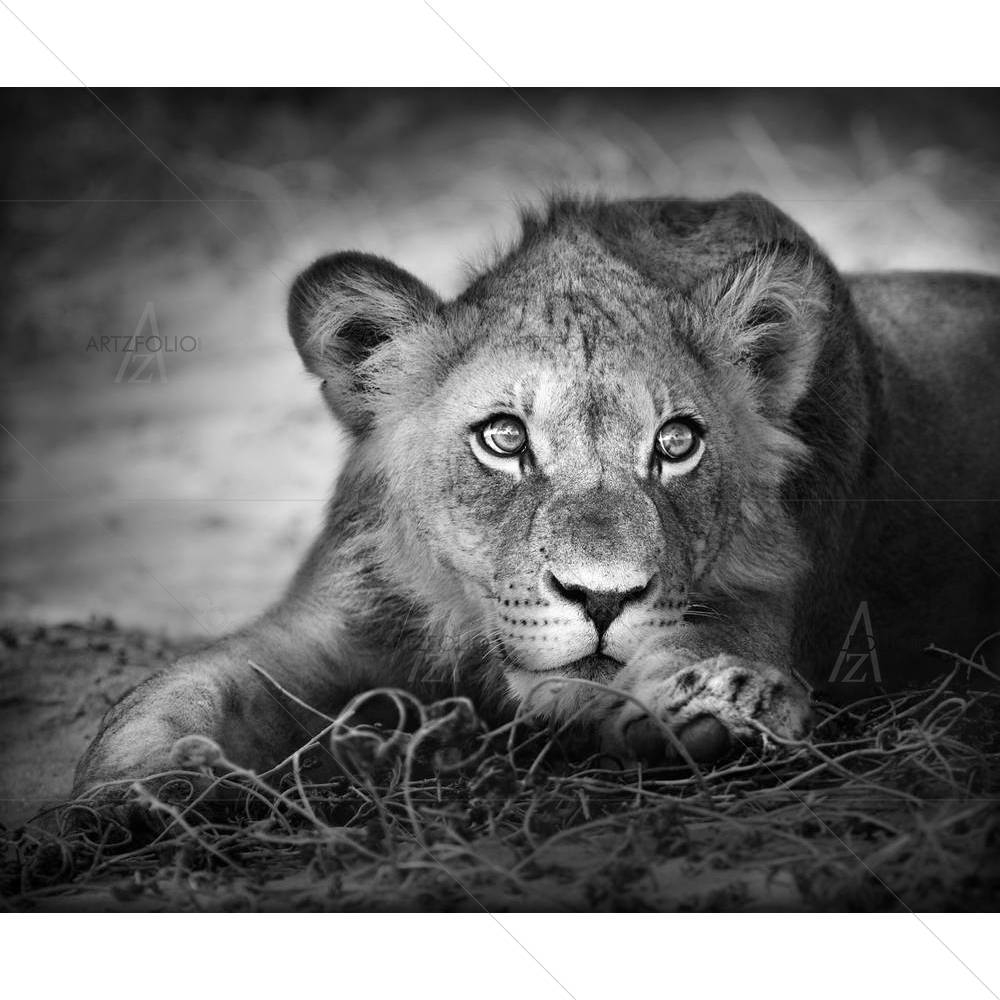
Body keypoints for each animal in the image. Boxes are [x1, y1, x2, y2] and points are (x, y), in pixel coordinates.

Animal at [73, 192, 1000, 799]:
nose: (603, 597)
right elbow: (177, 691)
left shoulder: (763, 604)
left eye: (676, 443)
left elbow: (689, 657)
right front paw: (143, 788)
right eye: (503, 438)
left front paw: (719, 708)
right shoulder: (330, 621)